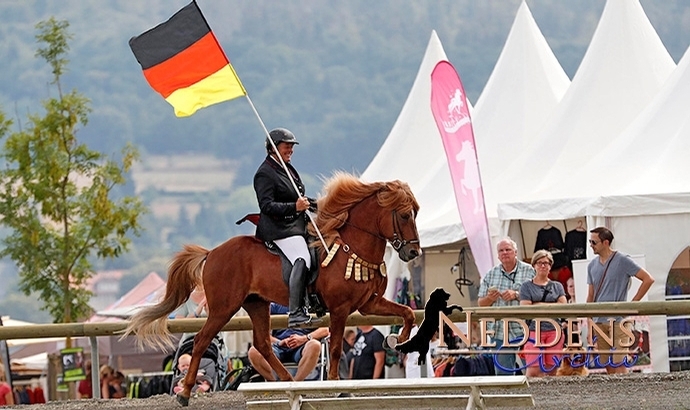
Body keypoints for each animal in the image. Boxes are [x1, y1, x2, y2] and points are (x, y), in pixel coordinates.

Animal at [126, 172, 422, 404]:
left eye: (416, 214)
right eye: (404, 215)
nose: (413, 252)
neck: (350, 246)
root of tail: (212, 253)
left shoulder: (369, 303)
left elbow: (407, 312)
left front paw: (398, 340)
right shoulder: (340, 310)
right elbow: (337, 348)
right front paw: (338, 388)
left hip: (256, 303)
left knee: (263, 344)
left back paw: (290, 380)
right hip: (223, 308)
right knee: (201, 341)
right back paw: (186, 393)